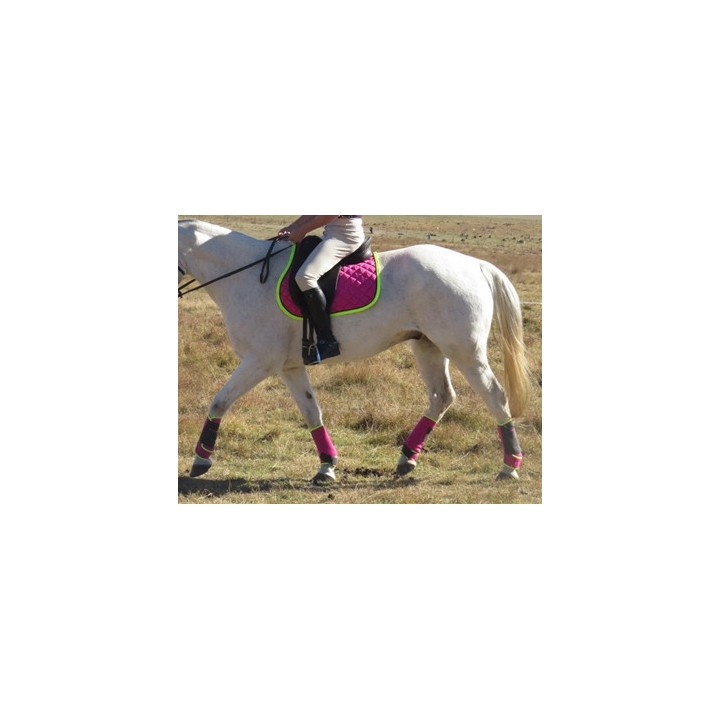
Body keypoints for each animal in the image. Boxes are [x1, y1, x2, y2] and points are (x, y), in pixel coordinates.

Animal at [178, 219, 530, 484]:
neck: (248, 276)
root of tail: (476, 265)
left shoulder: (259, 362)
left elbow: (220, 400)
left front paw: (201, 459)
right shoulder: (289, 367)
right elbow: (312, 412)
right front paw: (326, 466)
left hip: (465, 352)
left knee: (495, 396)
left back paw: (509, 466)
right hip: (428, 346)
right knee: (441, 397)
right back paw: (406, 458)